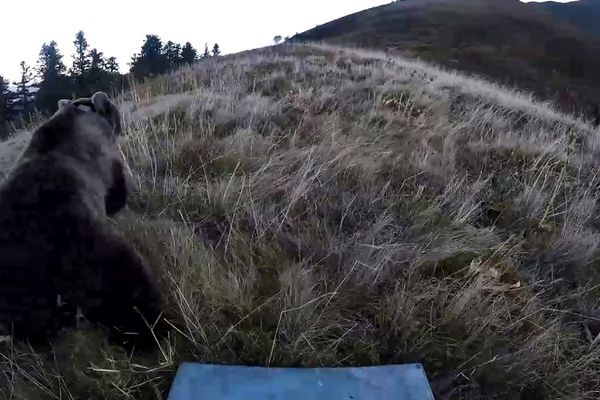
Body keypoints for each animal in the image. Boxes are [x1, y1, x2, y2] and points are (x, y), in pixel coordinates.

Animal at [0, 92, 162, 348]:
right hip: (89, 252)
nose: (117, 113)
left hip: (18, 290)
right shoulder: (107, 162)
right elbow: (116, 193)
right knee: (127, 286)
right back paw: (148, 332)